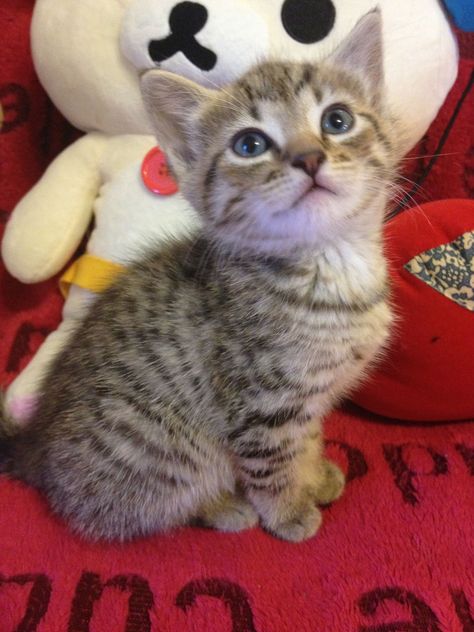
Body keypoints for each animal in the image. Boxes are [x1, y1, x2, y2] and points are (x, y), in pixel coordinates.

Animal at [0, 12, 400, 540]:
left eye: (337, 120)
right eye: (249, 145)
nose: (310, 157)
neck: (328, 265)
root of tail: (37, 449)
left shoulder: (311, 400)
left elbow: (307, 440)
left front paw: (314, 475)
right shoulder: (261, 406)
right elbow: (274, 465)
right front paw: (288, 511)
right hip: (169, 453)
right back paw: (223, 506)